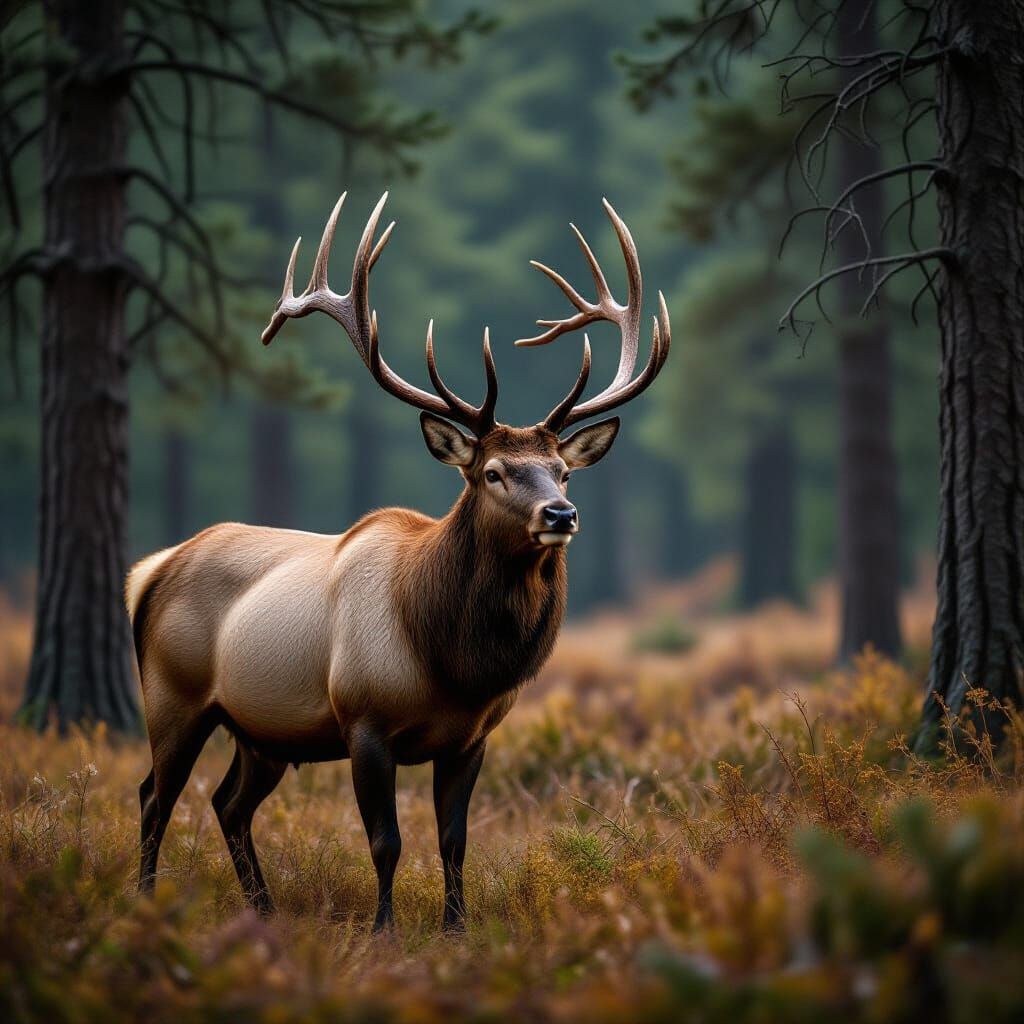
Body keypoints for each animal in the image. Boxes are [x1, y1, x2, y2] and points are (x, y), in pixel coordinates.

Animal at [126, 192, 670, 931]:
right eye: (493, 472)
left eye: (562, 471)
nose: (561, 515)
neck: (451, 661)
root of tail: (150, 571)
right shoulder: (365, 721)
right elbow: (386, 841)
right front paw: (384, 929)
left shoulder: (471, 737)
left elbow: (453, 839)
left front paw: (456, 927)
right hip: (174, 695)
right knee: (155, 795)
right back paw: (145, 900)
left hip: (262, 730)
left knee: (226, 804)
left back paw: (263, 910)